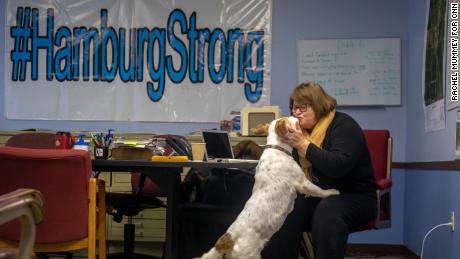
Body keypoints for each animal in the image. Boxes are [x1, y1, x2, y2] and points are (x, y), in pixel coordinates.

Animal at [199, 117, 340, 259]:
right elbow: (319, 190)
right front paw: (332, 192)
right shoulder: (302, 182)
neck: (277, 148)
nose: (296, 116)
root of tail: (229, 237)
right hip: (251, 255)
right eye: (288, 118)